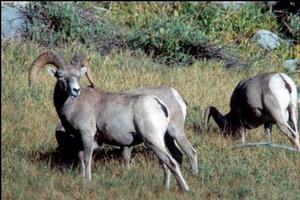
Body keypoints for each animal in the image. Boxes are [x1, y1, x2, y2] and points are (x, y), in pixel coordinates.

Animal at [29, 51, 190, 191]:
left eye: (78, 76)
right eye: (60, 76)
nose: (75, 90)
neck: (73, 105)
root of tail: (160, 104)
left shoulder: (87, 135)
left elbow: (87, 159)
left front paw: (88, 181)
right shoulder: (79, 139)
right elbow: (81, 158)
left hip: (153, 140)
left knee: (172, 162)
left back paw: (185, 189)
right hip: (160, 142)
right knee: (166, 164)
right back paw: (166, 188)